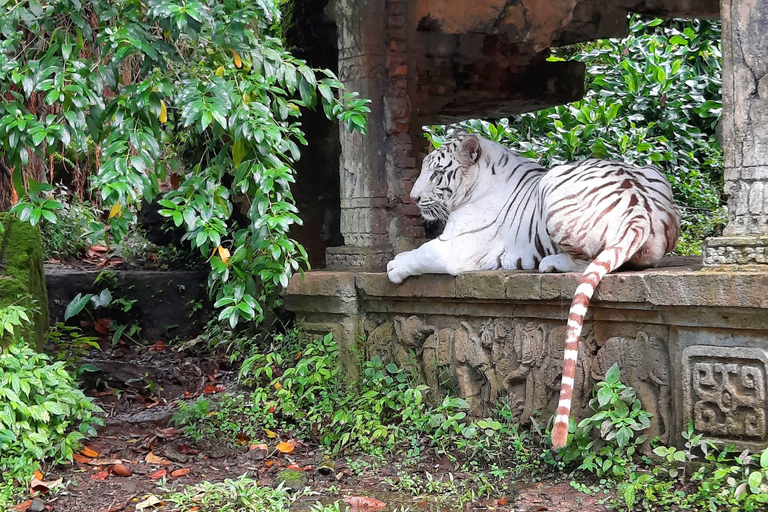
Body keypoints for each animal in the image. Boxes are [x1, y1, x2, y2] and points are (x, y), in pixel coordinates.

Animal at [388, 132, 680, 448]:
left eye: (437, 173)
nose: (414, 198)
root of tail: (640, 208)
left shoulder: (455, 249)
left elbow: (421, 253)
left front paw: (393, 267)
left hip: (554, 183)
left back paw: (550, 264)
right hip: (653, 175)